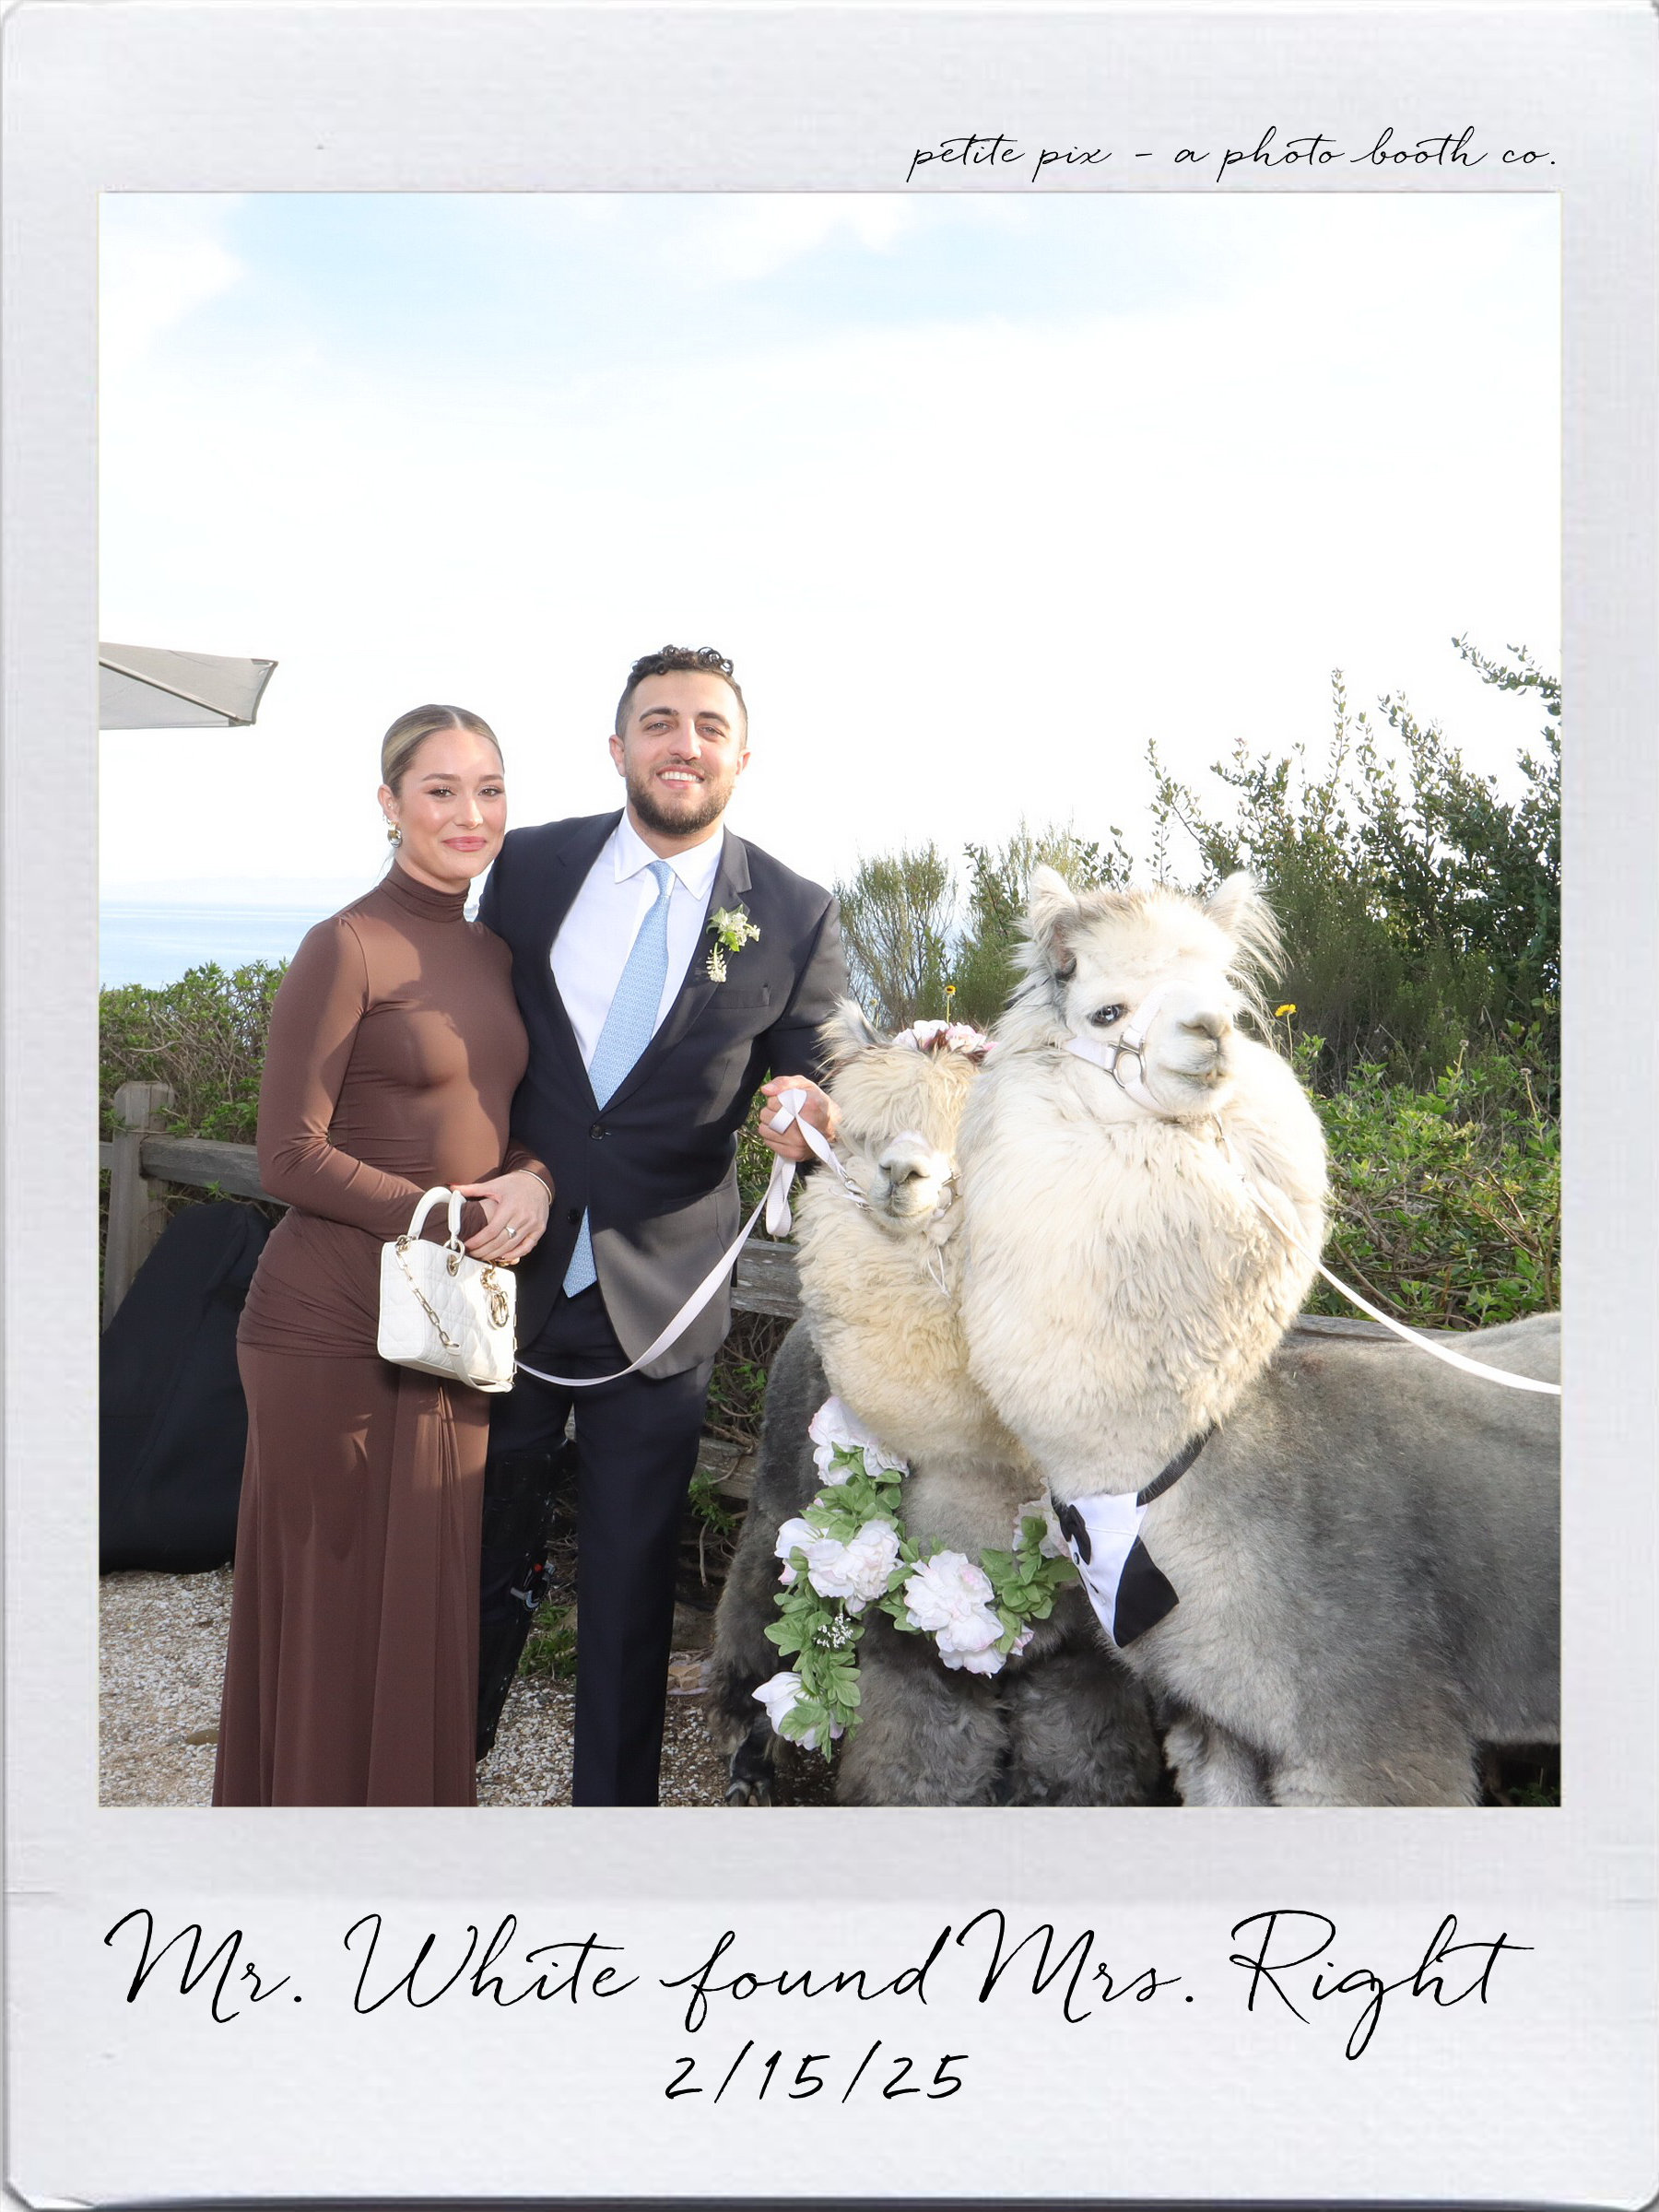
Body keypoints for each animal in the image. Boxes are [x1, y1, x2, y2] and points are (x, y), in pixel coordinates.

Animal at [705, 1008, 1166, 1807]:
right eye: (863, 1135)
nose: (903, 1174)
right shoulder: (909, 1643)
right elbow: (918, 1775)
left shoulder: (1083, 1650)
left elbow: (1088, 1768)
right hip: (777, 1506)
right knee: (753, 1623)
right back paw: (749, 1765)